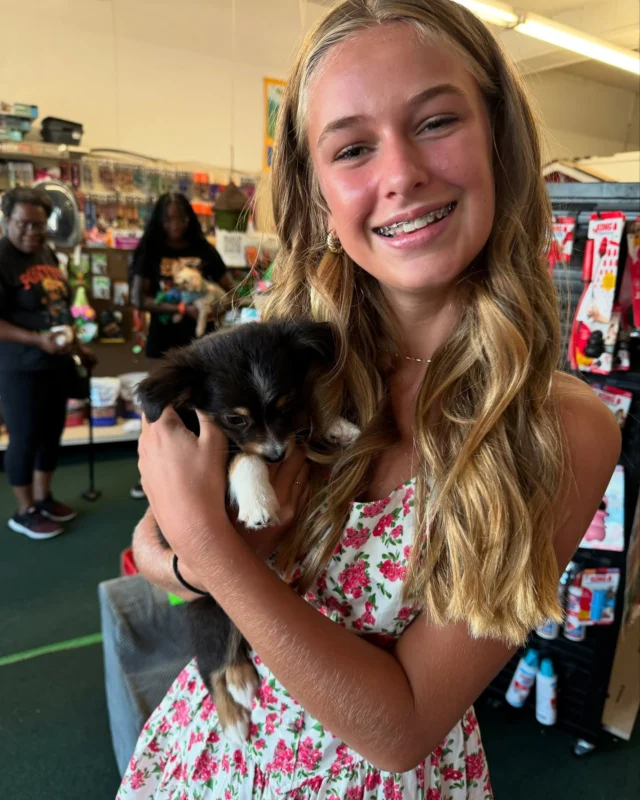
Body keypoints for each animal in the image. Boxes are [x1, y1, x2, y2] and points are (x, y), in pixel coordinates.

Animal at [135, 320, 359, 744]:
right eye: (235, 419)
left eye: (284, 404)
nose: (276, 455)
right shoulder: (218, 447)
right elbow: (240, 456)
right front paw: (258, 501)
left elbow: (302, 420)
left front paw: (336, 425)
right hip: (209, 611)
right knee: (210, 664)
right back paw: (233, 717)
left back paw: (240, 678)